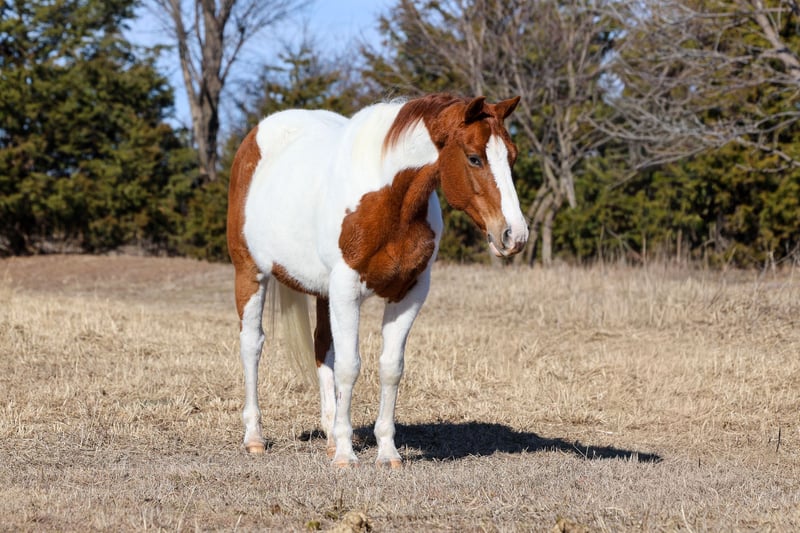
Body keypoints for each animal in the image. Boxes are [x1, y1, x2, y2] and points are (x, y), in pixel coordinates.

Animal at [226, 93, 528, 468]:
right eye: (474, 157)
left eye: (512, 155)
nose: (514, 235)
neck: (391, 202)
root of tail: (258, 135)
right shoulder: (346, 290)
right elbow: (350, 366)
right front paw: (345, 454)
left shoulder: (409, 293)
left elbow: (390, 367)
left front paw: (386, 452)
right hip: (249, 273)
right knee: (252, 345)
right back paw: (255, 437)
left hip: (322, 292)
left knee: (321, 347)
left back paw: (328, 436)